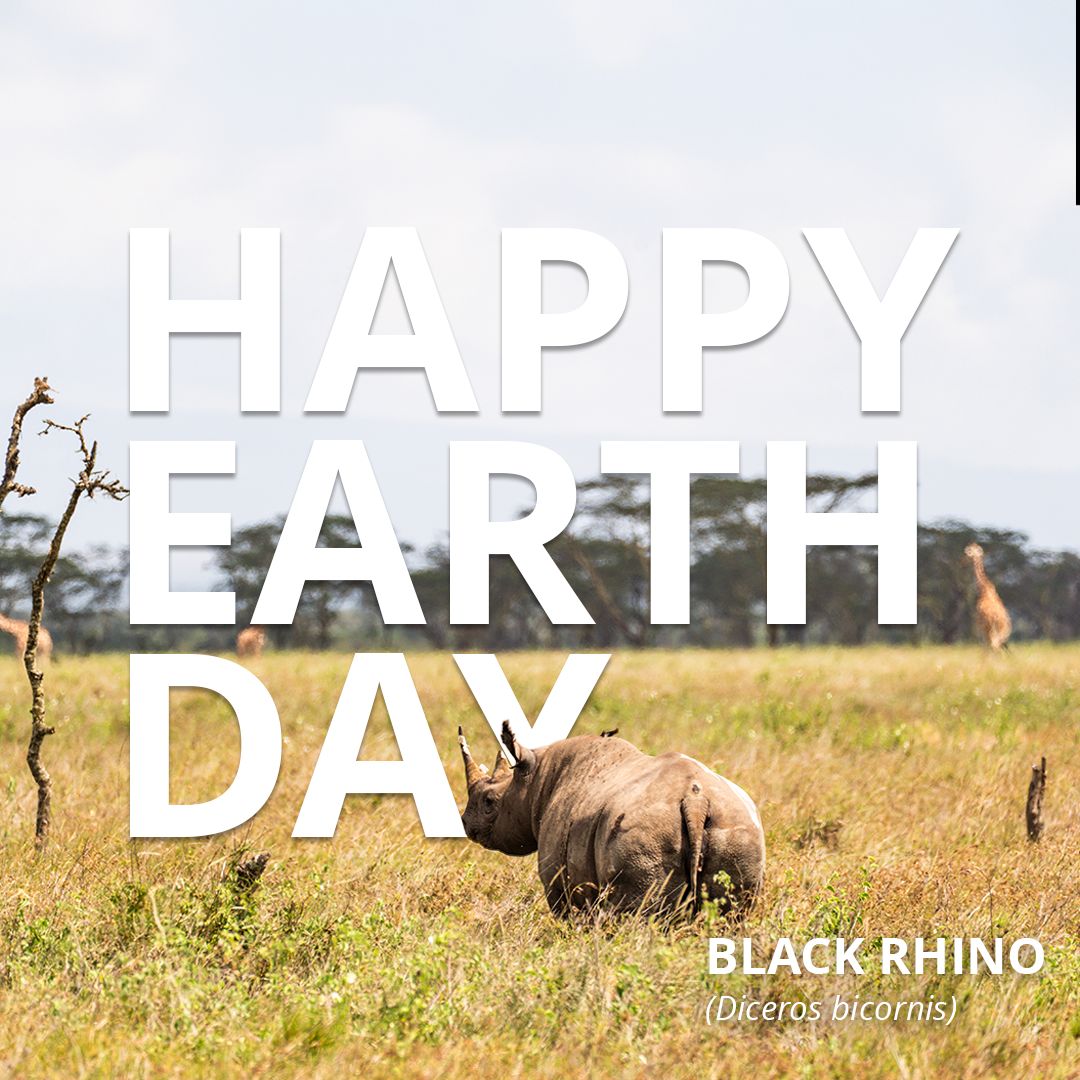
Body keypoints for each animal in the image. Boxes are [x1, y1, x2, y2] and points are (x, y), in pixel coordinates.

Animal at [459, 721, 765, 917]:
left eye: (489, 802)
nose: (465, 822)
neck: (536, 781)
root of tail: (695, 799)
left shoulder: (559, 884)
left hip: (642, 834)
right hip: (736, 827)